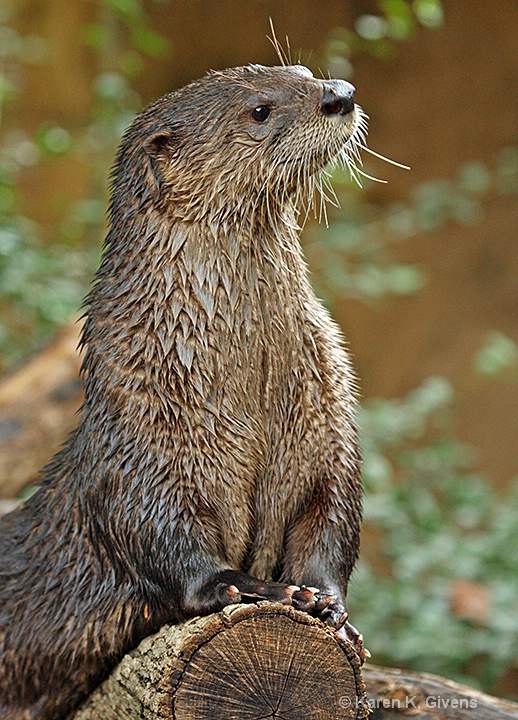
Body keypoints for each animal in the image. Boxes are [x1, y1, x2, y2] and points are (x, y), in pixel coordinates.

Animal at [1, 64, 366, 716]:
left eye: (302, 72)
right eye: (260, 110)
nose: (339, 94)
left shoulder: (326, 420)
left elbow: (329, 516)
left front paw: (325, 603)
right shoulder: (143, 435)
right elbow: (160, 533)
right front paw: (249, 587)